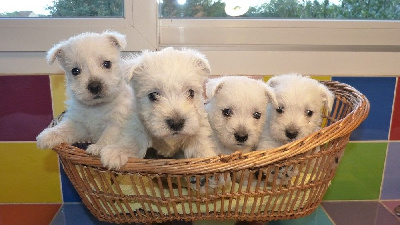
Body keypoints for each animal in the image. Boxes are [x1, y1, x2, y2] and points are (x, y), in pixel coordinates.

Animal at [34, 31, 144, 169]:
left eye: (107, 63)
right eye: (75, 71)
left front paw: (98, 147)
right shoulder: (78, 123)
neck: (97, 107)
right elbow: (64, 127)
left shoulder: (118, 122)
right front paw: (48, 135)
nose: (94, 86)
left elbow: (109, 135)